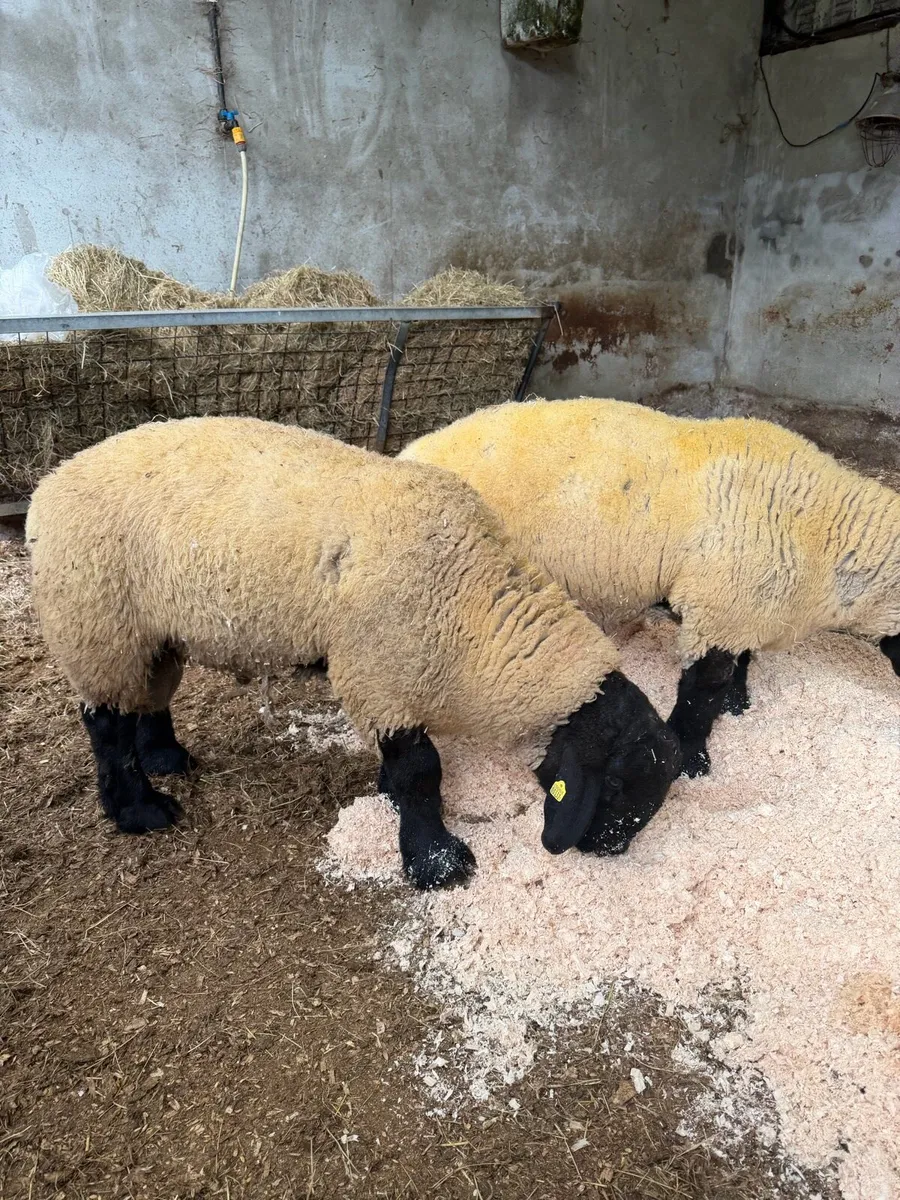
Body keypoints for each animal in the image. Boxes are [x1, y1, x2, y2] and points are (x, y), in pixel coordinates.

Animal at [25, 416, 682, 888]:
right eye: (616, 786)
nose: (608, 850)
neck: (476, 605)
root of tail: (48, 485)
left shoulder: (395, 675)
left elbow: (407, 765)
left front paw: (394, 804)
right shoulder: (378, 673)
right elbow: (421, 770)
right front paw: (436, 862)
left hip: (149, 630)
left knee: (147, 693)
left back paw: (165, 757)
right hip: (95, 623)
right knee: (105, 725)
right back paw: (139, 810)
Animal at [401, 397, 900, 777]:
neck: (826, 534)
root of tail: (407, 451)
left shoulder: (747, 604)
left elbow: (740, 663)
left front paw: (737, 702)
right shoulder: (718, 605)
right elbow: (701, 692)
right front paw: (691, 757)